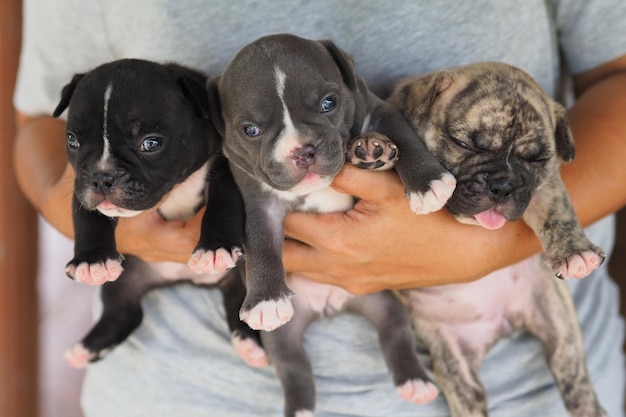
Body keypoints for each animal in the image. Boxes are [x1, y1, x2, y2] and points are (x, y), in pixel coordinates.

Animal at [51, 59, 251, 368]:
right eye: (72, 141)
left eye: (151, 143)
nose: (101, 177)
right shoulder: (80, 187)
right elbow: (87, 219)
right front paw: (92, 261)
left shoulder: (229, 170)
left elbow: (224, 202)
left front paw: (215, 247)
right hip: (126, 277)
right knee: (124, 312)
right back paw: (85, 349)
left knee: (240, 303)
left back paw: (250, 342)